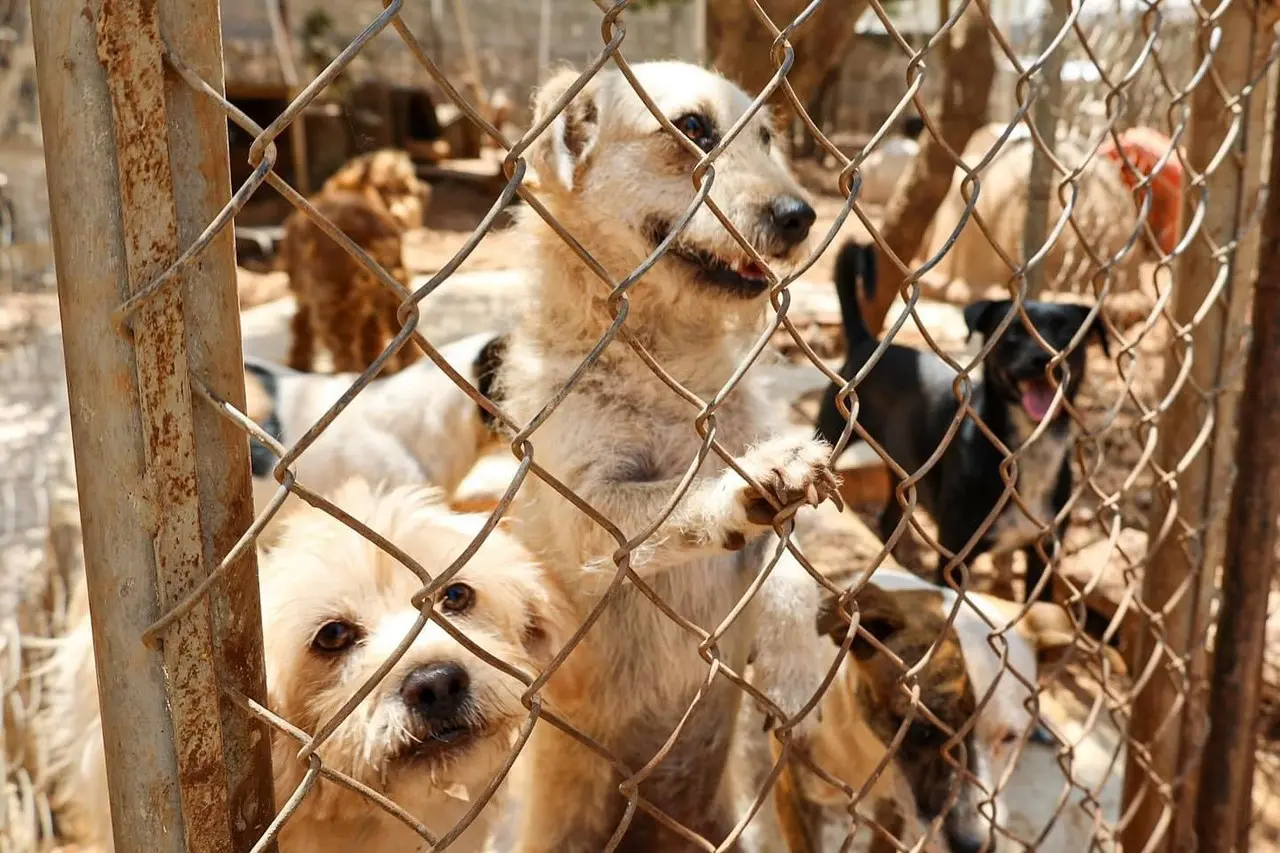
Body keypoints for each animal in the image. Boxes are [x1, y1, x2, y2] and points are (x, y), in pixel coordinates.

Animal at [284, 148, 432, 371]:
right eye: (406, 187)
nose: (424, 190)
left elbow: (301, 327)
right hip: (394, 290)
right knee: (399, 338)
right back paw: (405, 367)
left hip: (336, 301)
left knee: (345, 351)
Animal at [496, 63, 839, 845]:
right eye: (691, 128)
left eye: (768, 136)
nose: (801, 215)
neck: (665, 358)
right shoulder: (594, 513)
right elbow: (673, 497)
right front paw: (746, 485)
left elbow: (791, 579)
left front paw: (799, 673)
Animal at [819, 239, 1111, 596]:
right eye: (1012, 333)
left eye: (1067, 331)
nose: (1043, 358)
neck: (1024, 447)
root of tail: (866, 343)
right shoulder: (954, 558)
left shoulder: (1042, 552)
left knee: (888, 520)